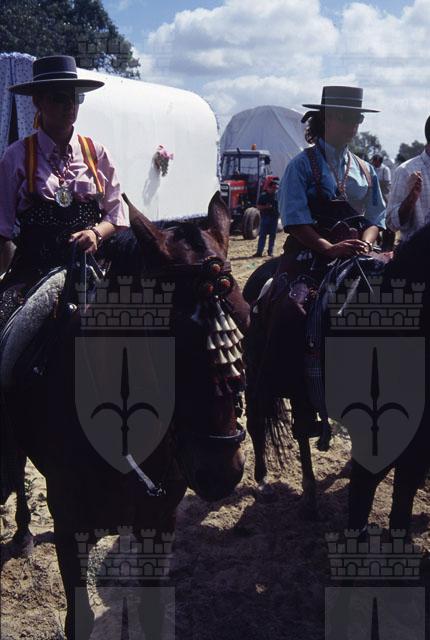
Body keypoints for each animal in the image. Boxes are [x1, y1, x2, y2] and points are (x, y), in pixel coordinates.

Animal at [0, 192, 249, 640]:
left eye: (247, 320)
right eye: (167, 335)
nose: (221, 470)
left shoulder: (159, 523)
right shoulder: (70, 527)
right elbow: (78, 619)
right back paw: (24, 533)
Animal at [243, 225, 430, 532]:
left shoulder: (417, 441)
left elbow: (402, 501)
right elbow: (362, 496)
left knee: (301, 430)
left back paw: (309, 498)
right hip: (256, 373)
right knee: (258, 422)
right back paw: (264, 482)